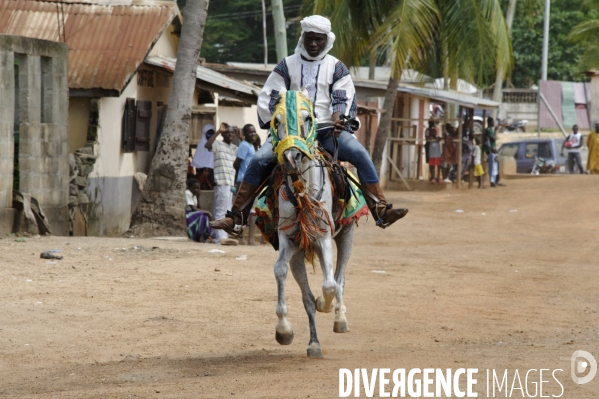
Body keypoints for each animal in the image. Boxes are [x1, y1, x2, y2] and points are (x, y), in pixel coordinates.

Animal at [270, 91, 358, 360]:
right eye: (276, 120)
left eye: (308, 117)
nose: (291, 158)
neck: (303, 192)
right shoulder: (289, 239)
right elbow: (280, 271)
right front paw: (284, 331)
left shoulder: (324, 236)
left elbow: (329, 285)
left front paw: (325, 304)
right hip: (300, 252)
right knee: (307, 296)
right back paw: (314, 344)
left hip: (346, 234)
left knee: (339, 279)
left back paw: (340, 319)